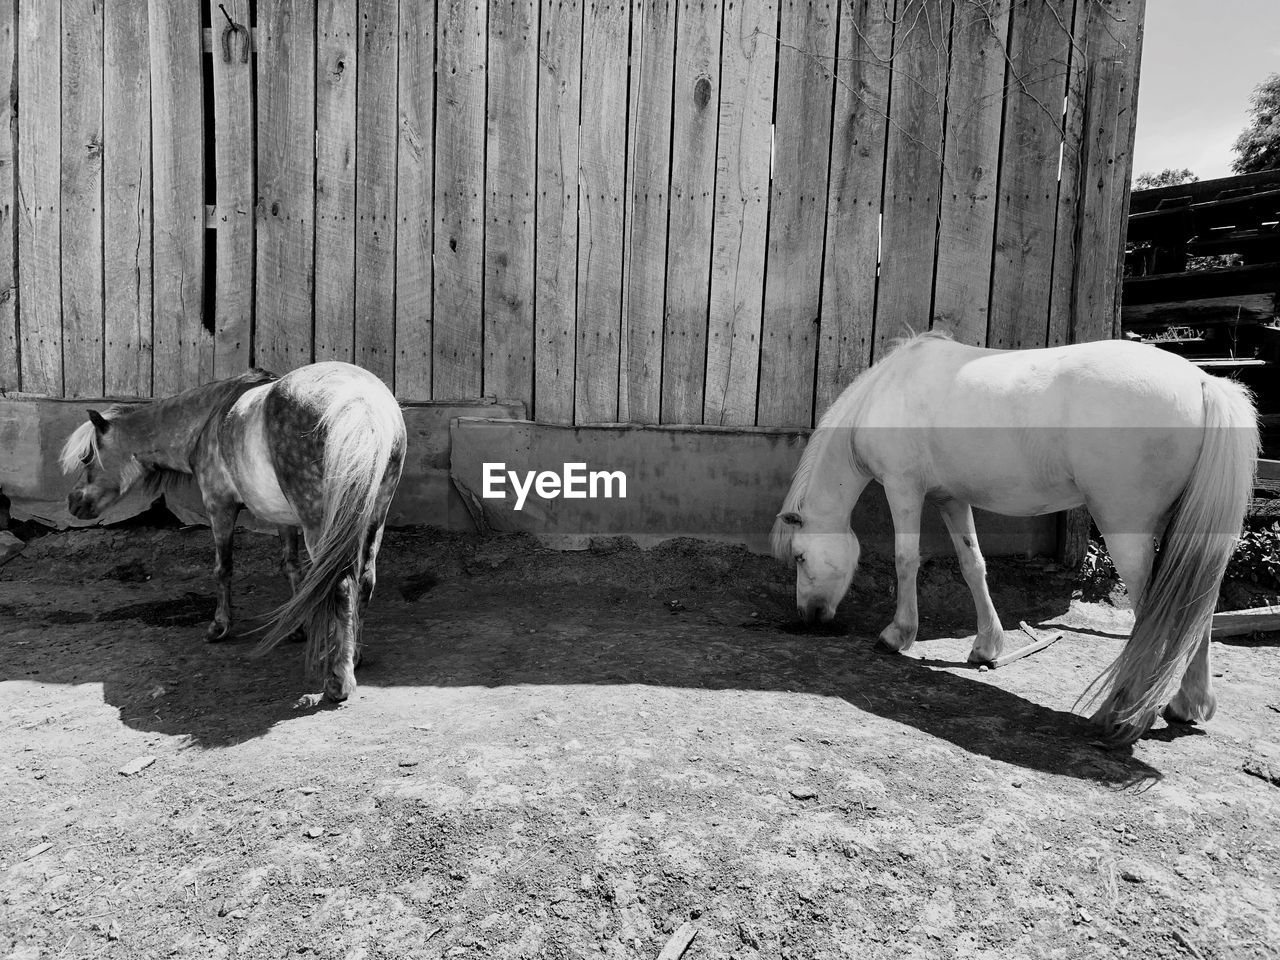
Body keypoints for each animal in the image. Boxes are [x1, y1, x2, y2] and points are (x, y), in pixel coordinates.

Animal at [60, 363, 404, 701]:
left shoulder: (219, 507)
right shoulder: (284, 519)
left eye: (86, 457)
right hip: (372, 519)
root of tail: (361, 403)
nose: (73, 502)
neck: (209, 420)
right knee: (364, 580)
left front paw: (220, 626)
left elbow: (223, 568)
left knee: (341, 586)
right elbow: (292, 568)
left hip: (320, 526)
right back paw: (353, 657)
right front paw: (297, 626)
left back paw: (338, 679)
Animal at [773, 335, 1254, 747]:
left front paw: (897, 635)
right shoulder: (950, 498)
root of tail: (1203, 383)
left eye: (800, 557)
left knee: (1156, 611)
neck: (886, 390)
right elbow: (973, 565)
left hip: (1126, 528)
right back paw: (1188, 704)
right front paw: (986, 646)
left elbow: (906, 559)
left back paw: (1120, 714)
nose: (809, 616)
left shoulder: (902, 487)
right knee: (1197, 606)